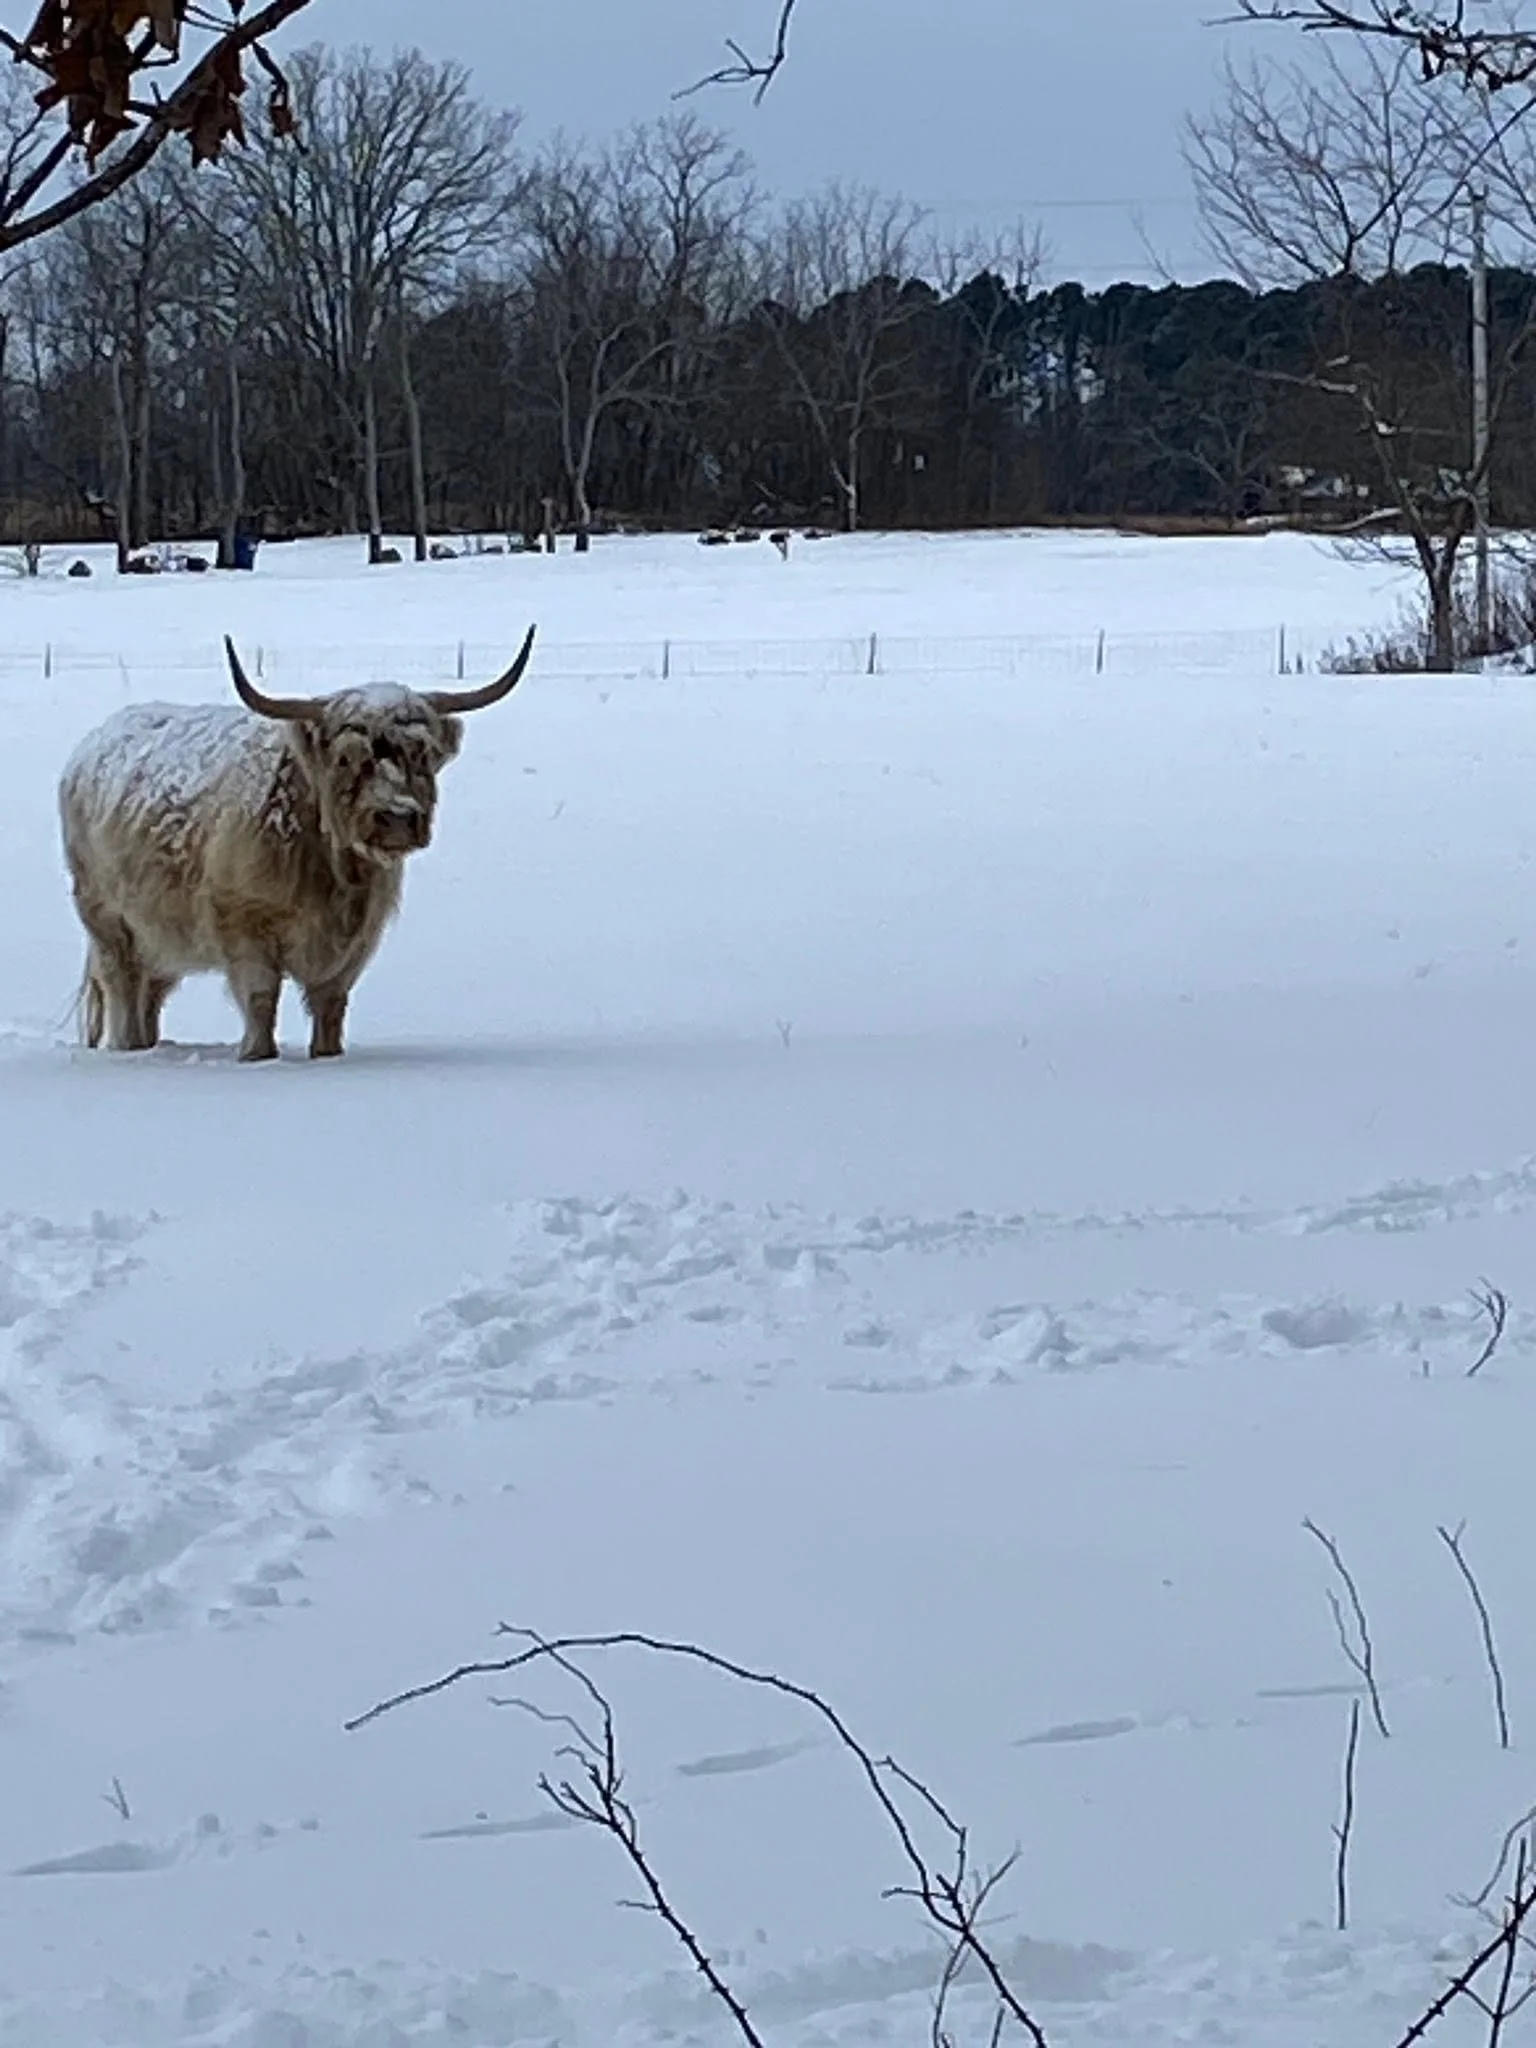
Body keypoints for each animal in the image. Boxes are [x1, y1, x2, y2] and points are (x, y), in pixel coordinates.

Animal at [58, 626, 536, 1062]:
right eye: (345, 758)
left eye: (421, 753)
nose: (397, 817)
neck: (331, 873)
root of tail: (90, 746)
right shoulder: (242, 923)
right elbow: (260, 998)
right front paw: (257, 1056)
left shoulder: (356, 941)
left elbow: (331, 1005)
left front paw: (328, 1055)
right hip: (107, 920)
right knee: (123, 987)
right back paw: (128, 1049)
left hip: (163, 934)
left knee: (151, 995)